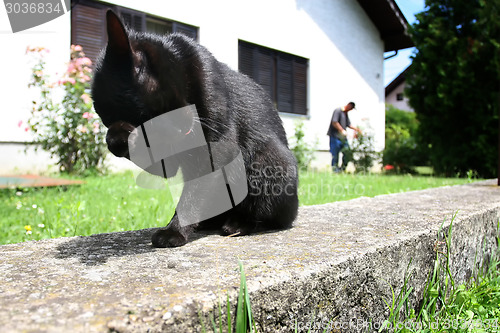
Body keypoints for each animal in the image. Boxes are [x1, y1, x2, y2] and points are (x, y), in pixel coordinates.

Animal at [92, 10, 298, 245]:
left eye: (186, 92)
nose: (190, 123)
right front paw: (119, 136)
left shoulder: (217, 148)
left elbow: (193, 195)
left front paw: (174, 231)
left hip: (268, 161)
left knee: (270, 216)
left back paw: (238, 224)